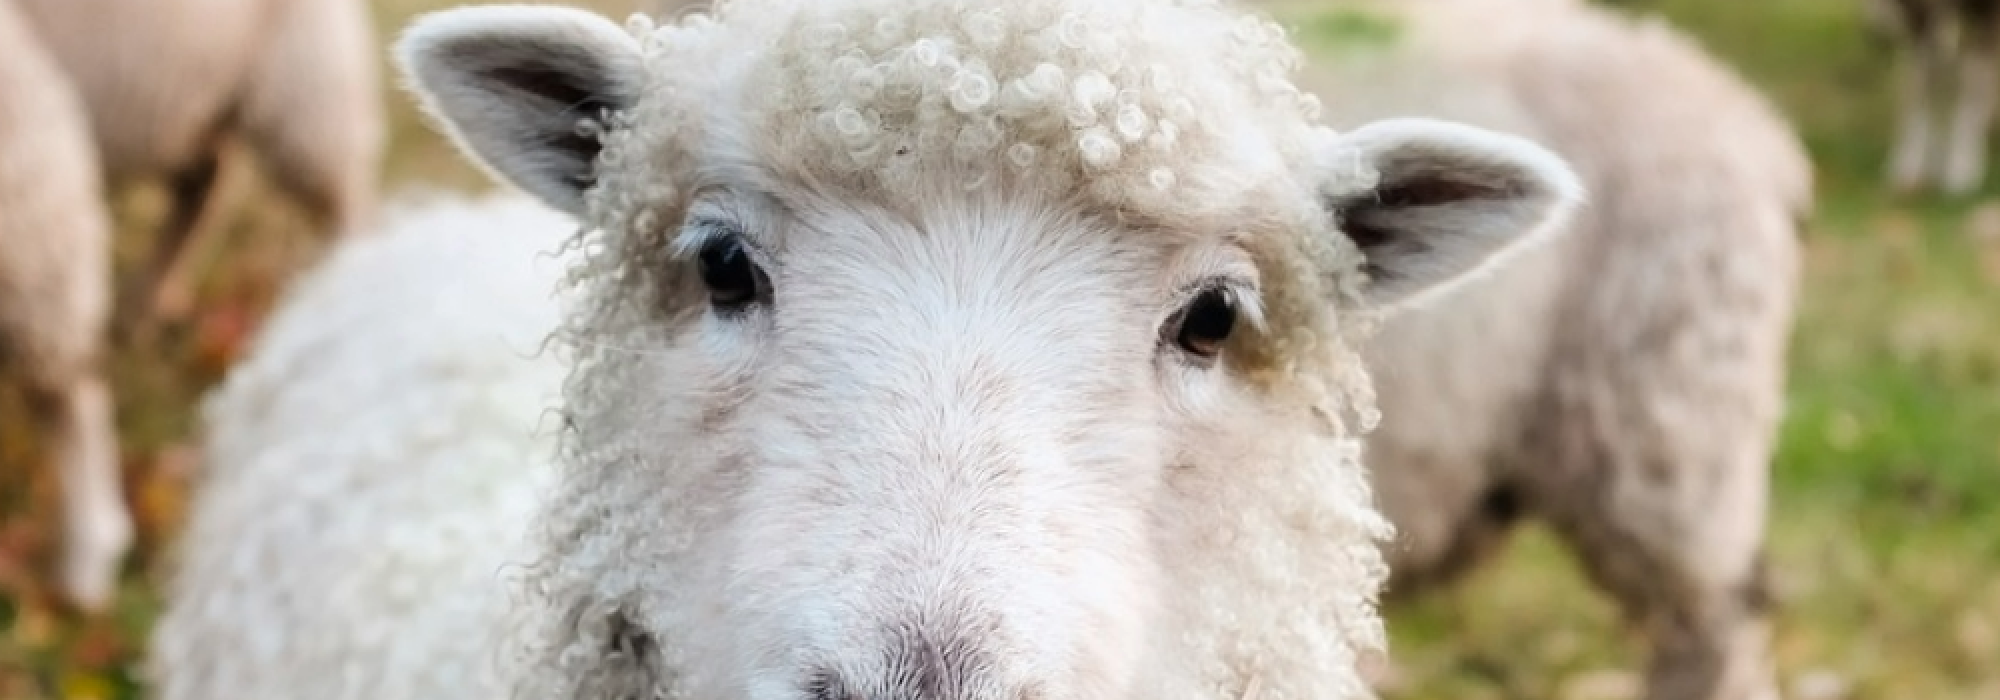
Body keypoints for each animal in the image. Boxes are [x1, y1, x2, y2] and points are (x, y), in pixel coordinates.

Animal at [1869, 0, 1999, 195]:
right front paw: (1911, 167)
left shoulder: (1983, 10)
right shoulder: (1918, 15)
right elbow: (1923, 83)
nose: (1876, 34)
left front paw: (1961, 170)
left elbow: (1972, 81)